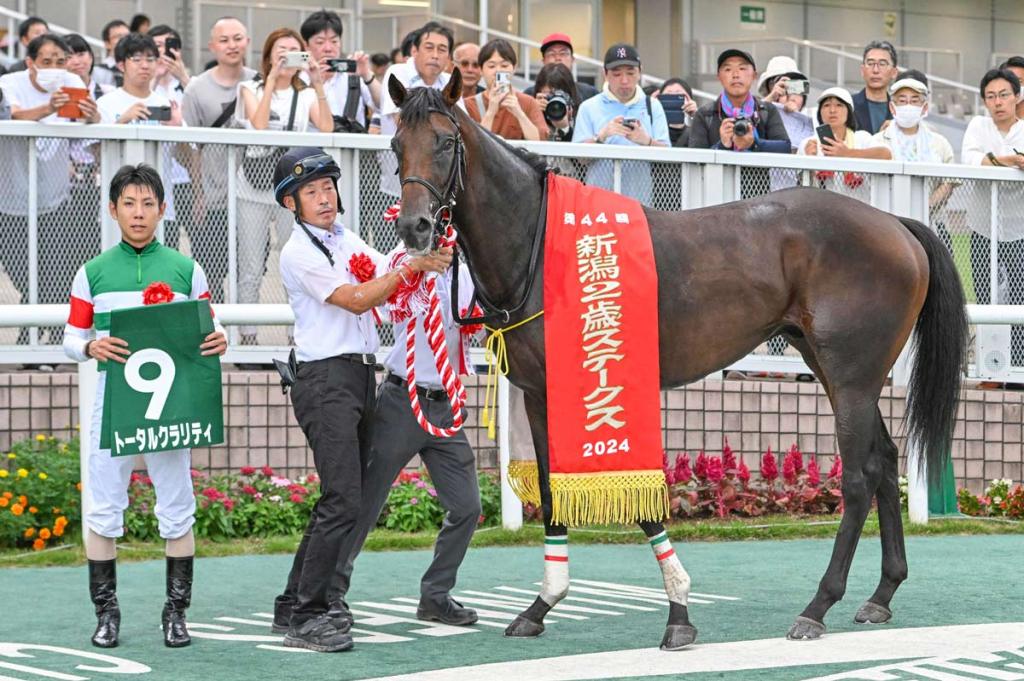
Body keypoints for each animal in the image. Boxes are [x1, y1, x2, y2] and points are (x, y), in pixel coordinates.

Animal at [385, 68, 968, 650]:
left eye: (445, 141)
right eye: (396, 145)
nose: (416, 227)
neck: (544, 246)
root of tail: (895, 224)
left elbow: (637, 498)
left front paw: (679, 611)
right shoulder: (539, 392)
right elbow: (551, 491)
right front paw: (540, 605)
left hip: (850, 374)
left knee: (859, 476)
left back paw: (818, 606)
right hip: (834, 367)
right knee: (885, 459)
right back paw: (881, 594)